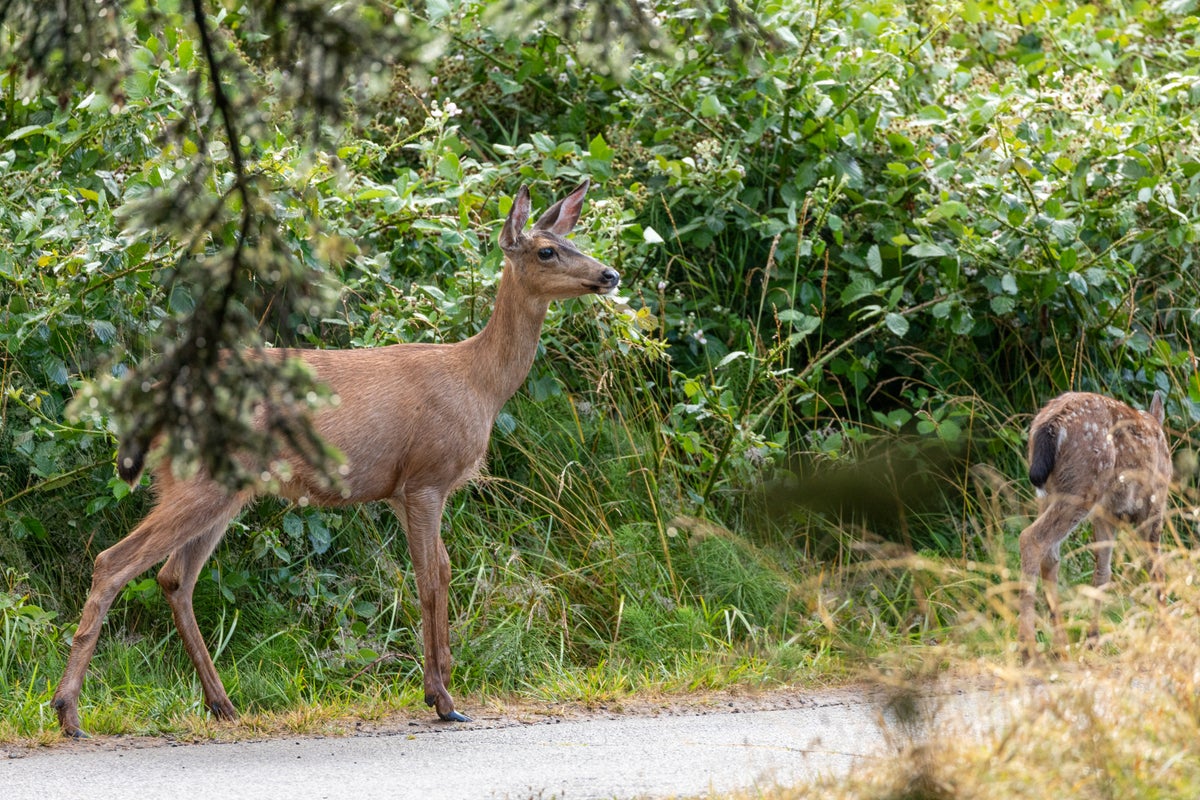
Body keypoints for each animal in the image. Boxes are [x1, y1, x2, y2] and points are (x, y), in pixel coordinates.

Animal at [49, 181, 619, 738]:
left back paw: (222, 705)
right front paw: (442, 698)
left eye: (572, 240)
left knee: (174, 578)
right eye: (546, 251)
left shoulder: (400, 490)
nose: (609, 275)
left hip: (217, 486)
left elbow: (442, 568)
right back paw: (69, 713)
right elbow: (429, 578)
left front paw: (445, 683)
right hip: (204, 484)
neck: (478, 381)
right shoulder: (426, 477)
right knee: (113, 562)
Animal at [1012, 391, 1171, 662]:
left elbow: (1102, 572)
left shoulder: (1105, 515)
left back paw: (1061, 645)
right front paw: (1164, 631)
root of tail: (1050, 425)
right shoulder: (1154, 506)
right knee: (1031, 538)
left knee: (1051, 555)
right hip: (1084, 484)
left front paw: (1093, 639)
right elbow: (1155, 568)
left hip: (1052, 493)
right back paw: (1028, 649)